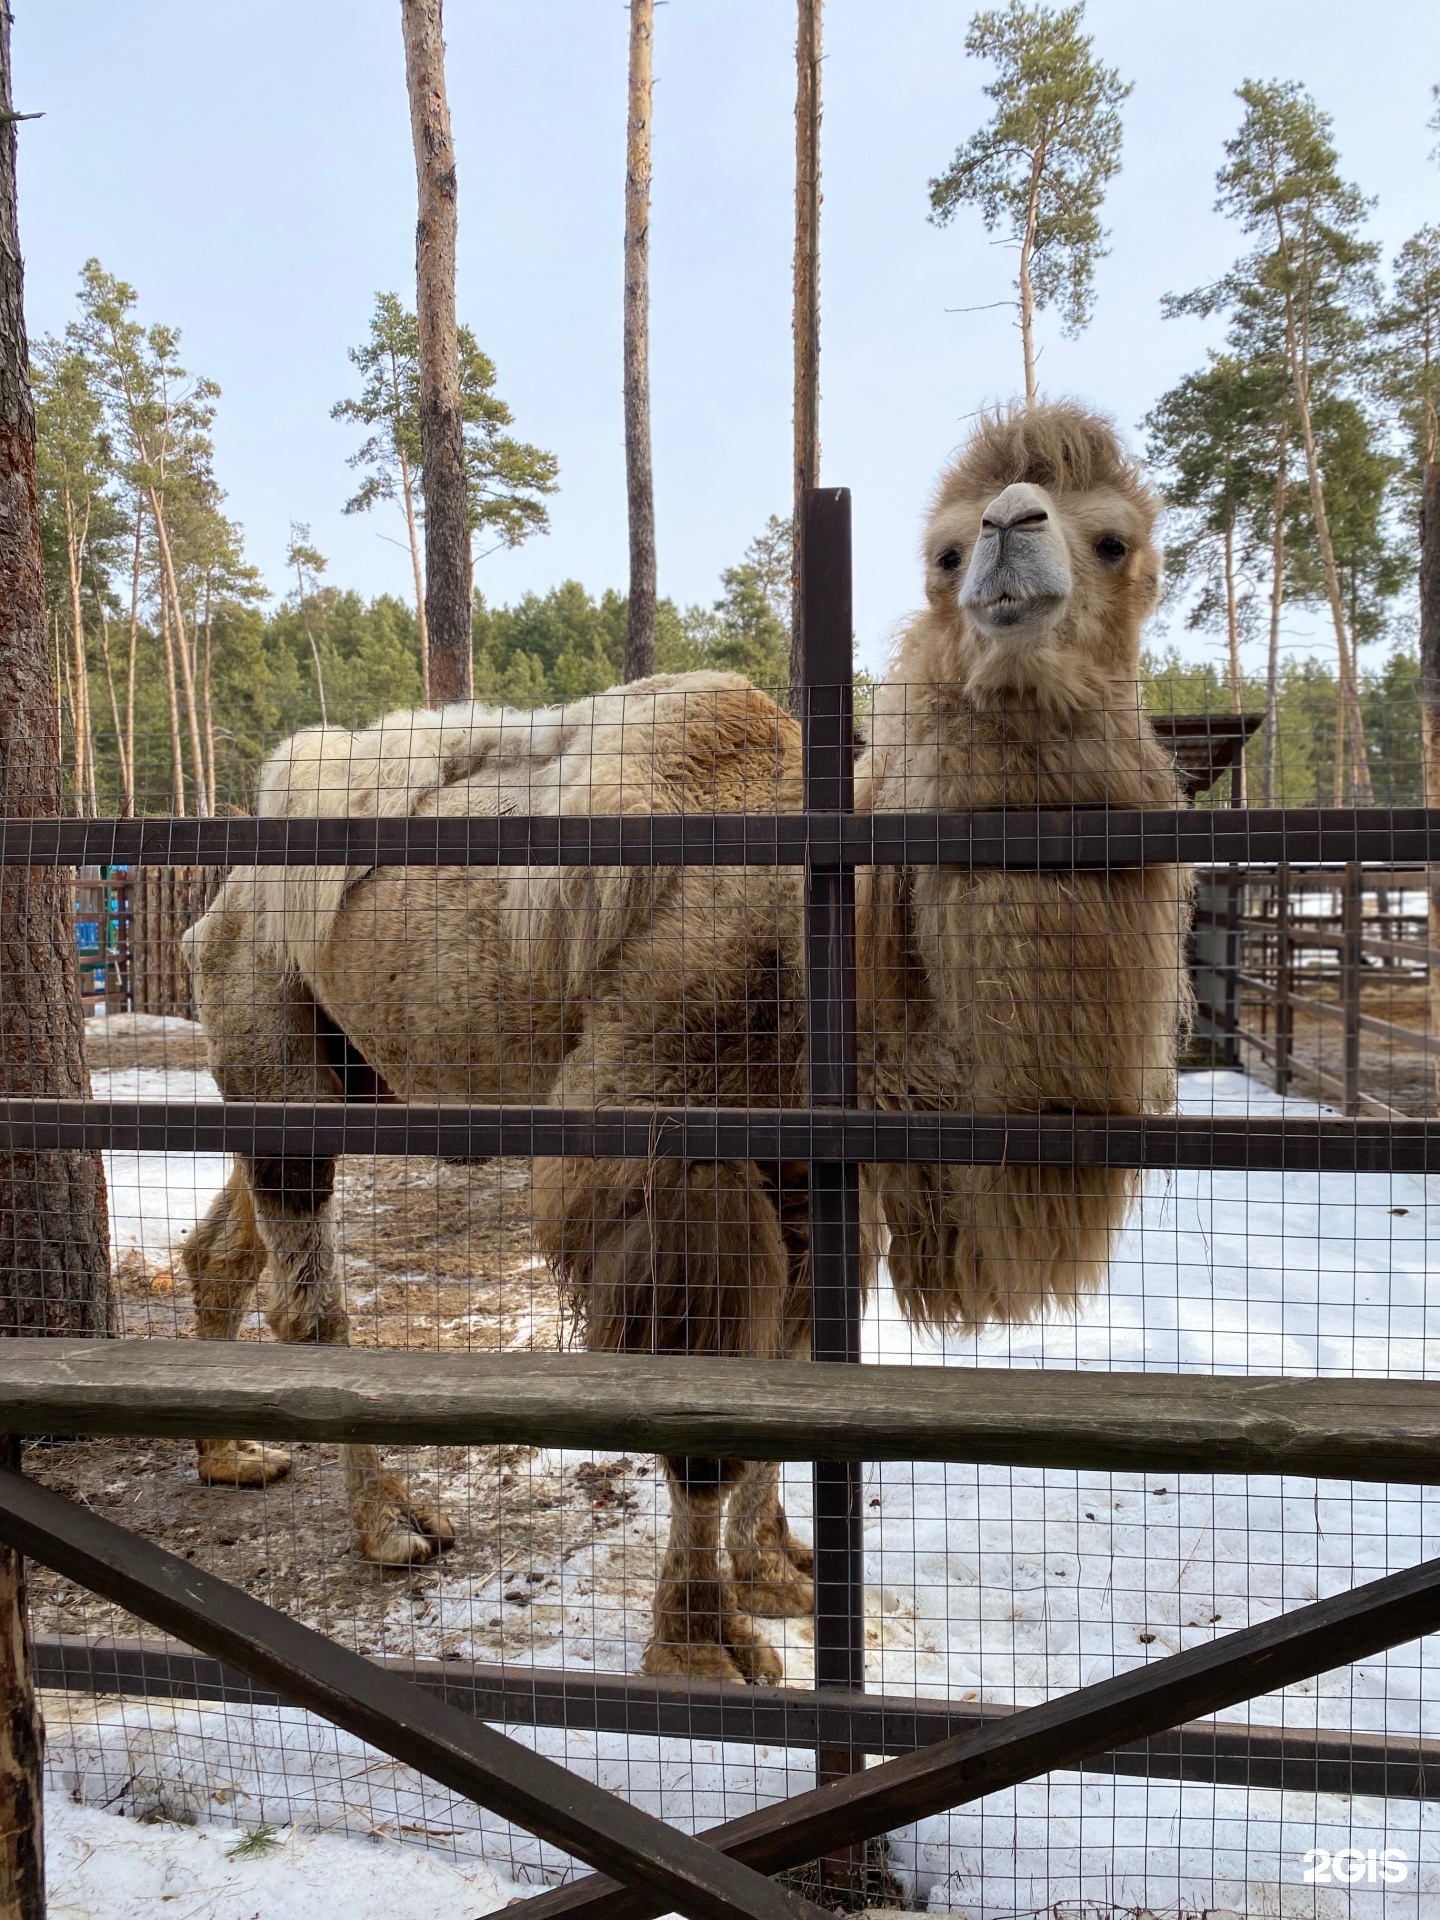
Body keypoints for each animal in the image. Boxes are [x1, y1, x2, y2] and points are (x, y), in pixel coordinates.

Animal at [180, 401, 1198, 1681]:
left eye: (1116, 541)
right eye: (944, 550)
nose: (1013, 538)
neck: (832, 926)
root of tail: (221, 892)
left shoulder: (811, 1160)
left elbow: (790, 1367)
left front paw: (777, 1572)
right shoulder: (668, 1144)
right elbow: (703, 1409)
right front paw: (703, 1646)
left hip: (339, 1069)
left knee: (230, 1249)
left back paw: (228, 1454)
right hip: (268, 1021)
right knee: (310, 1299)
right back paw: (393, 1525)